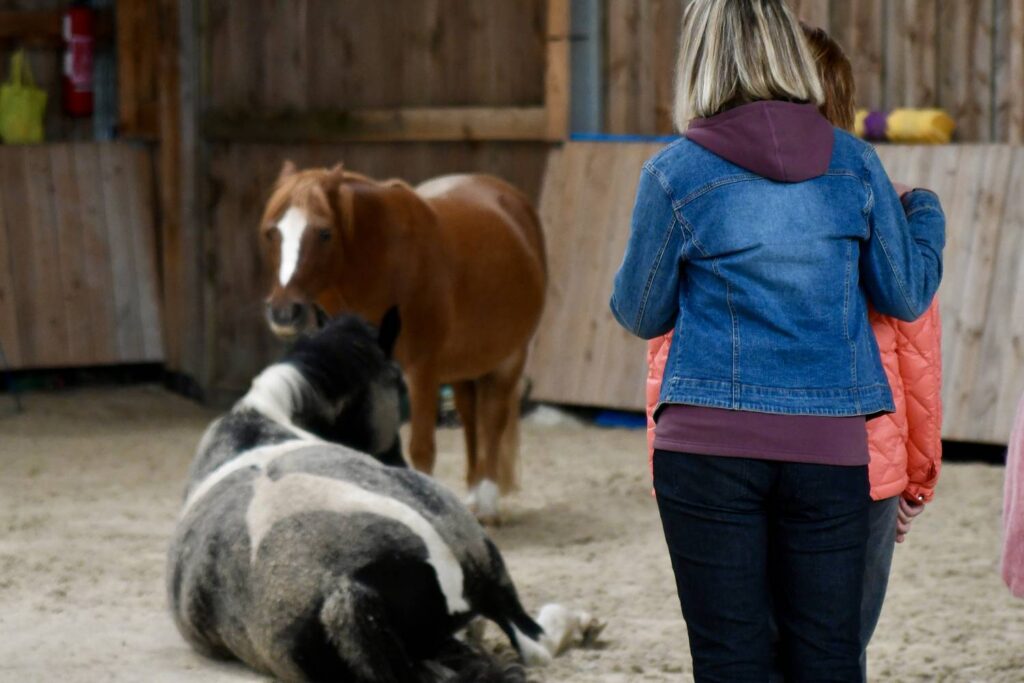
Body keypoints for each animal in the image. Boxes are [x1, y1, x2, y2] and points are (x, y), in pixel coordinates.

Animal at [165, 313, 598, 679]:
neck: (257, 422)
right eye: (398, 382)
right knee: (536, 644)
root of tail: (350, 590)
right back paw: (580, 625)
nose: (398, 459)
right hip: (489, 574)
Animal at [260, 162, 548, 520]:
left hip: (510, 359)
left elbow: (422, 450)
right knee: (470, 417)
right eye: (272, 233)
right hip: (463, 365)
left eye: (325, 233)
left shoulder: (421, 372)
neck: (385, 264)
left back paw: (486, 504)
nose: (284, 313)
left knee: (493, 420)